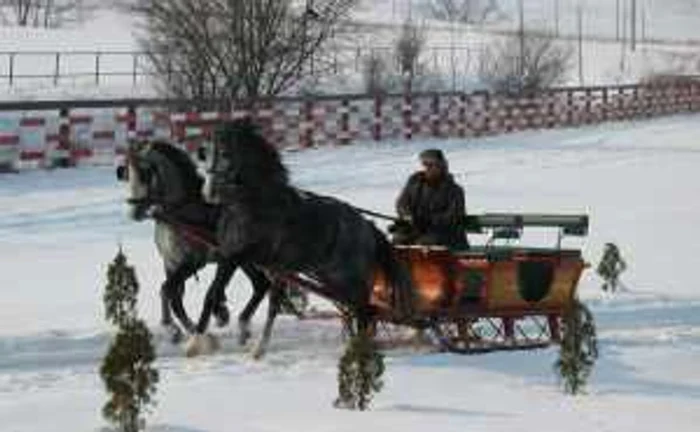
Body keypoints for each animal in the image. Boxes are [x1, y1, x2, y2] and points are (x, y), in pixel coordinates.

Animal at [119, 141, 272, 344]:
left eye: (146, 173)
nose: (134, 212)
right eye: (127, 174)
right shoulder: (170, 263)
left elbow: (167, 290)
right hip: (243, 261)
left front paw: (176, 328)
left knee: (260, 284)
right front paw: (182, 328)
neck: (182, 213)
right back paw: (242, 327)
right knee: (260, 284)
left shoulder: (192, 263)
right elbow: (172, 296)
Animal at [196, 119, 416, 358]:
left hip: (352, 280)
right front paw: (233, 329)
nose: (208, 193)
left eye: (226, 153)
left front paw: (222, 324)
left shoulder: (252, 256)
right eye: (206, 152)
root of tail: (367, 226)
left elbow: (230, 292)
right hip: (333, 279)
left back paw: (361, 347)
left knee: (364, 311)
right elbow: (217, 289)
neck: (255, 204)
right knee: (357, 310)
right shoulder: (233, 254)